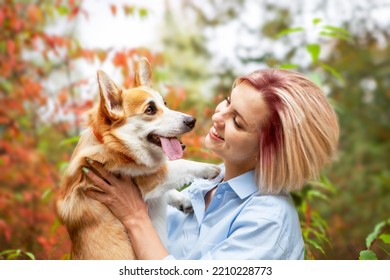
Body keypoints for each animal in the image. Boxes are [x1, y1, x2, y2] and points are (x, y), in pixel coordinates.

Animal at [55, 57, 219, 260]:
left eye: (164, 103)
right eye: (150, 110)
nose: (192, 121)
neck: (112, 142)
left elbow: (167, 190)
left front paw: (183, 200)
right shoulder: (147, 180)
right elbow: (177, 165)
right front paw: (209, 169)